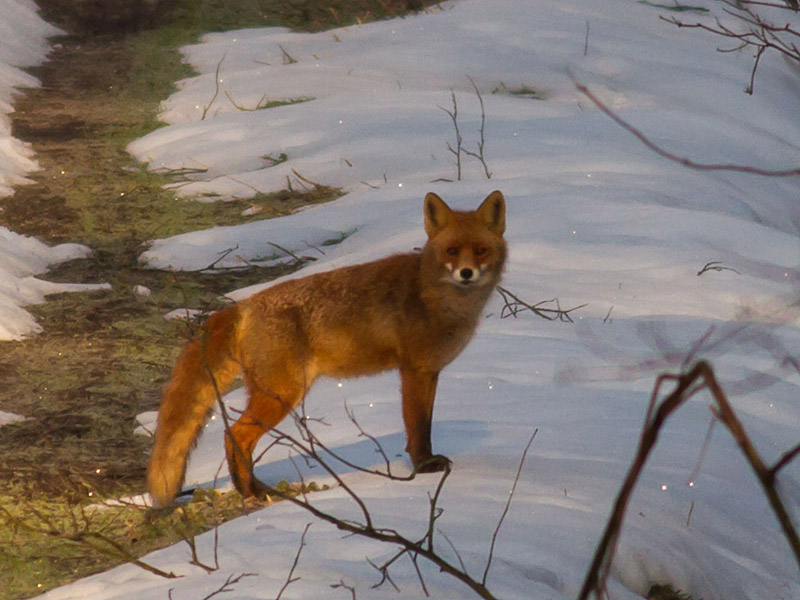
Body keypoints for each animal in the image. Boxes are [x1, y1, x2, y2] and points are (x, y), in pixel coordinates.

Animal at [147, 191, 506, 506]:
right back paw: (251, 491)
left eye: (480, 250)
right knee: (234, 435)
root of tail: (242, 306)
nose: (466, 273)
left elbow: (425, 424)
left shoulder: (429, 371)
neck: (434, 296)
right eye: (452, 250)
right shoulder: (414, 370)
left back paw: (251, 489)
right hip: (282, 393)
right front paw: (424, 468)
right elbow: (418, 427)